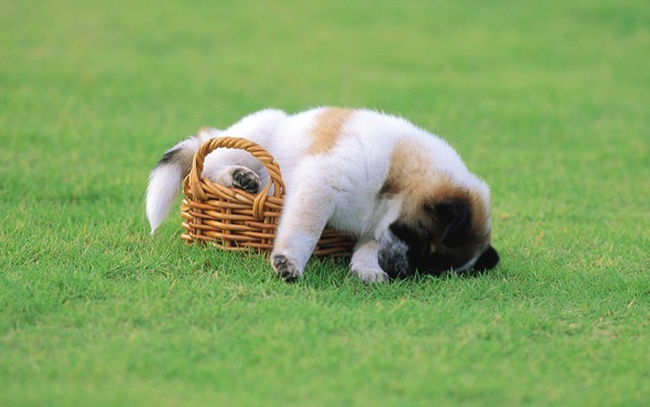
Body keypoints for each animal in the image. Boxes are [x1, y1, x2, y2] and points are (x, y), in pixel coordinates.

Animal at [144, 110, 498, 286]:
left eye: (433, 268)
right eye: (426, 244)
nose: (400, 273)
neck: (394, 184)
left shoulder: (377, 230)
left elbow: (369, 246)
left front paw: (368, 269)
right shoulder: (322, 185)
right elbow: (305, 229)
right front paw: (288, 262)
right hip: (252, 136)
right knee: (206, 167)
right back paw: (238, 177)